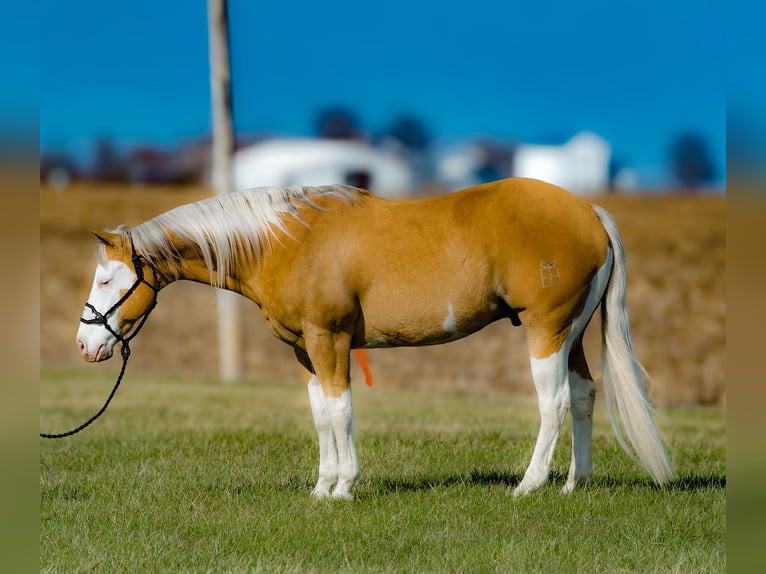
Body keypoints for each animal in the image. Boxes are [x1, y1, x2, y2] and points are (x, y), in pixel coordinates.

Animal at [78, 179, 676, 500]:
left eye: (106, 279)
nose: (86, 346)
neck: (285, 241)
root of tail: (590, 213)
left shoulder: (331, 341)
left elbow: (342, 411)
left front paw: (344, 486)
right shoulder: (305, 350)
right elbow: (321, 413)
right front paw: (321, 488)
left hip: (546, 331)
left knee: (553, 402)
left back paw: (529, 485)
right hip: (572, 333)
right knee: (584, 395)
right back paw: (575, 483)